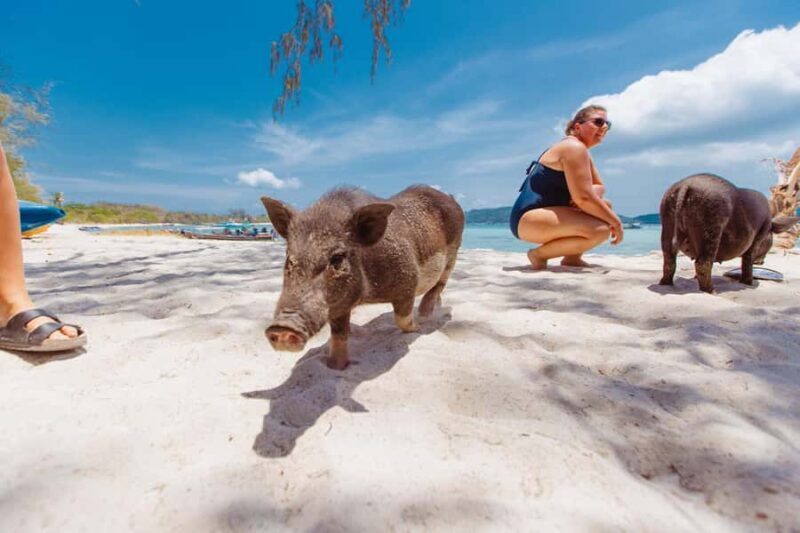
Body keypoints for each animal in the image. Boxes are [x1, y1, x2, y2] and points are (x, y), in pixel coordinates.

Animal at [262, 185, 464, 370]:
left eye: (337, 259)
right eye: (289, 259)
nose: (281, 327)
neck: (366, 297)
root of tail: (451, 199)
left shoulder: (408, 282)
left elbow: (402, 318)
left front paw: (418, 328)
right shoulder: (339, 305)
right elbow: (339, 334)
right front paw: (336, 366)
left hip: (453, 253)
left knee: (440, 283)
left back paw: (424, 313)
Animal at [659, 173, 799, 293]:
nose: (761, 262)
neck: (770, 225)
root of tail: (686, 185)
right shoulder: (759, 235)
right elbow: (747, 260)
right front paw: (749, 283)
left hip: (667, 217)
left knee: (669, 258)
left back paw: (665, 284)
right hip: (710, 222)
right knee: (702, 263)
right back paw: (712, 292)